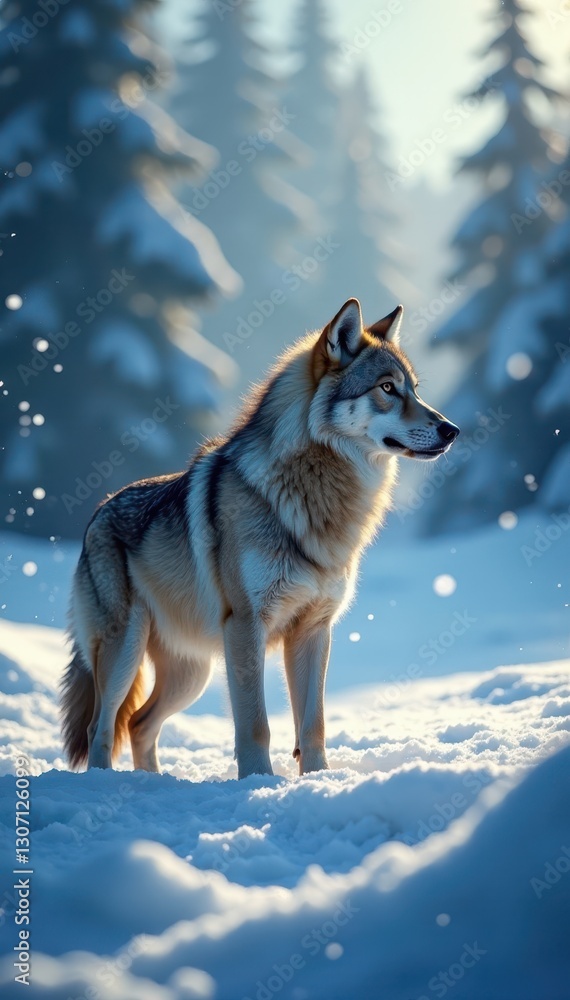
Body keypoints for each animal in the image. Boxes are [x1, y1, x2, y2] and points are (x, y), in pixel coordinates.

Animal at [61, 298, 459, 778]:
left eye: (415, 390)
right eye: (387, 388)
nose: (452, 430)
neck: (315, 496)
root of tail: (98, 511)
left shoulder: (314, 630)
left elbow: (313, 725)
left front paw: (318, 780)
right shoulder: (245, 626)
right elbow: (256, 725)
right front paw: (258, 783)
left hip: (191, 675)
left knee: (138, 724)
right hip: (127, 651)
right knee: (100, 728)